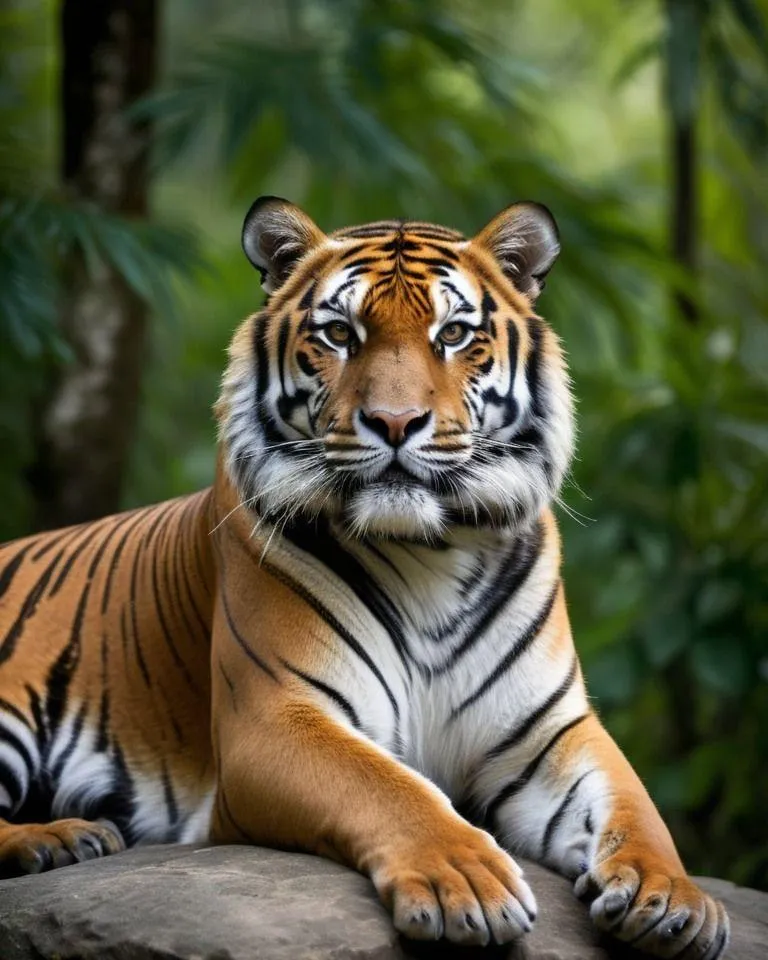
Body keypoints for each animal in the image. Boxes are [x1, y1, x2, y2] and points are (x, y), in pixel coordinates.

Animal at [0, 196, 729, 956]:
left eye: (454, 333)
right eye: (340, 333)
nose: (395, 422)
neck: (434, 552)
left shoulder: (547, 732)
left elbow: (635, 806)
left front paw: (672, 899)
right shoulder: (275, 715)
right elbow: (389, 787)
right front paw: (467, 882)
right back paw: (58, 838)